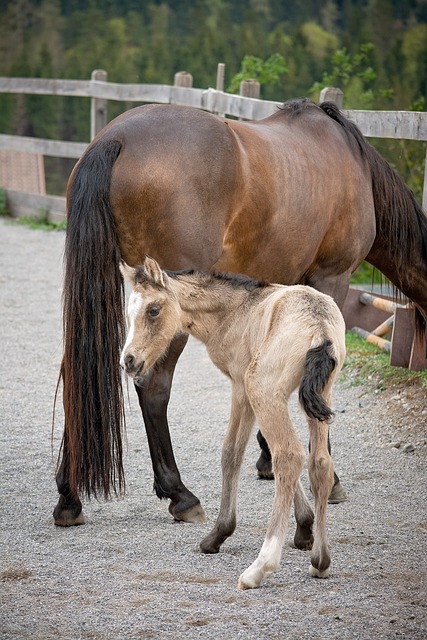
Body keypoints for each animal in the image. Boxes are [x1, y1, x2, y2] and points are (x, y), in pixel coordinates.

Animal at [53, 94, 427, 524]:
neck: (351, 159)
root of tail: (115, 138)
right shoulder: (331, 281)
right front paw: (328, 478)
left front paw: (268, 456)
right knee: (153, 387)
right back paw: (180, 494)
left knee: (79, 377)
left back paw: (69, 498)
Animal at [119, 258, 348, 588]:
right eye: (128, 312)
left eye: (153, 310)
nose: (128, 361)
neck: (235, 310)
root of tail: (319, 327)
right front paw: (305, 529)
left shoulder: (241, 387)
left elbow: (231, 453)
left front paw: (217, 535)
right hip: (321, 394)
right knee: (319, 463)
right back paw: (320, 561)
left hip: (261, 386)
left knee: (290, 455)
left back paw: (260, 566)